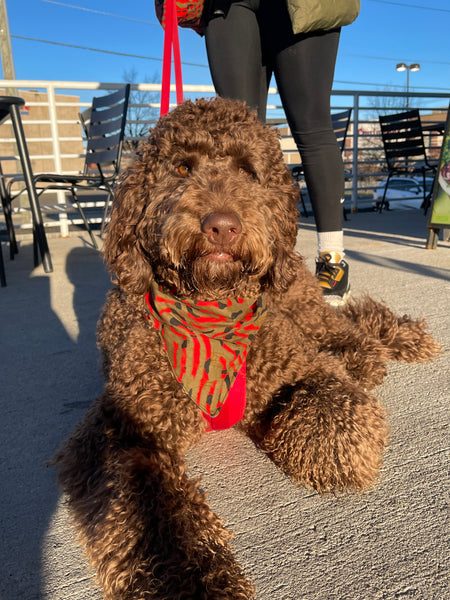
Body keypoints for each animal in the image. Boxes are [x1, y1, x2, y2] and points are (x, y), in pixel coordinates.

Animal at [51, 98, 440, 600]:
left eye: (248, 172)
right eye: (182, 167)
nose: (222, 226)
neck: (210, 311)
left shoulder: (301, 363)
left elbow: (337, 410)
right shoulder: (126, 429)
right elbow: (152, 518)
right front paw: (193, 583)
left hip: (299, 303)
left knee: (351, 327)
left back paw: (384, 344)